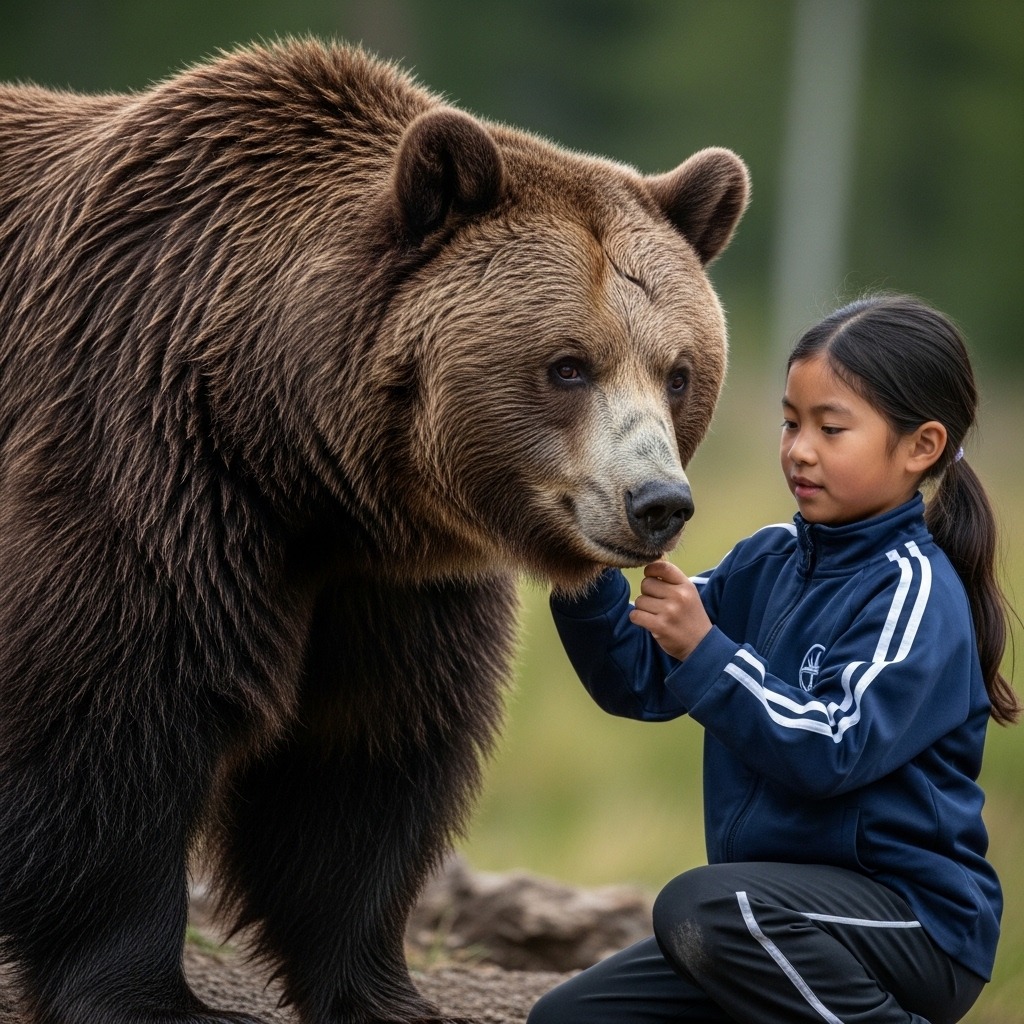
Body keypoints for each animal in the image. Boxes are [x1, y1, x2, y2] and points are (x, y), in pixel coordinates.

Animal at [0, 39, 748, 1024]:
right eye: (567, 365)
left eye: (678, 371)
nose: (657, 501)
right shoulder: (140, 461)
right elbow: (110, 714)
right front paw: (152, 994)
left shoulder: (387, 580)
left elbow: (363, 757)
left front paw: (381, 990)